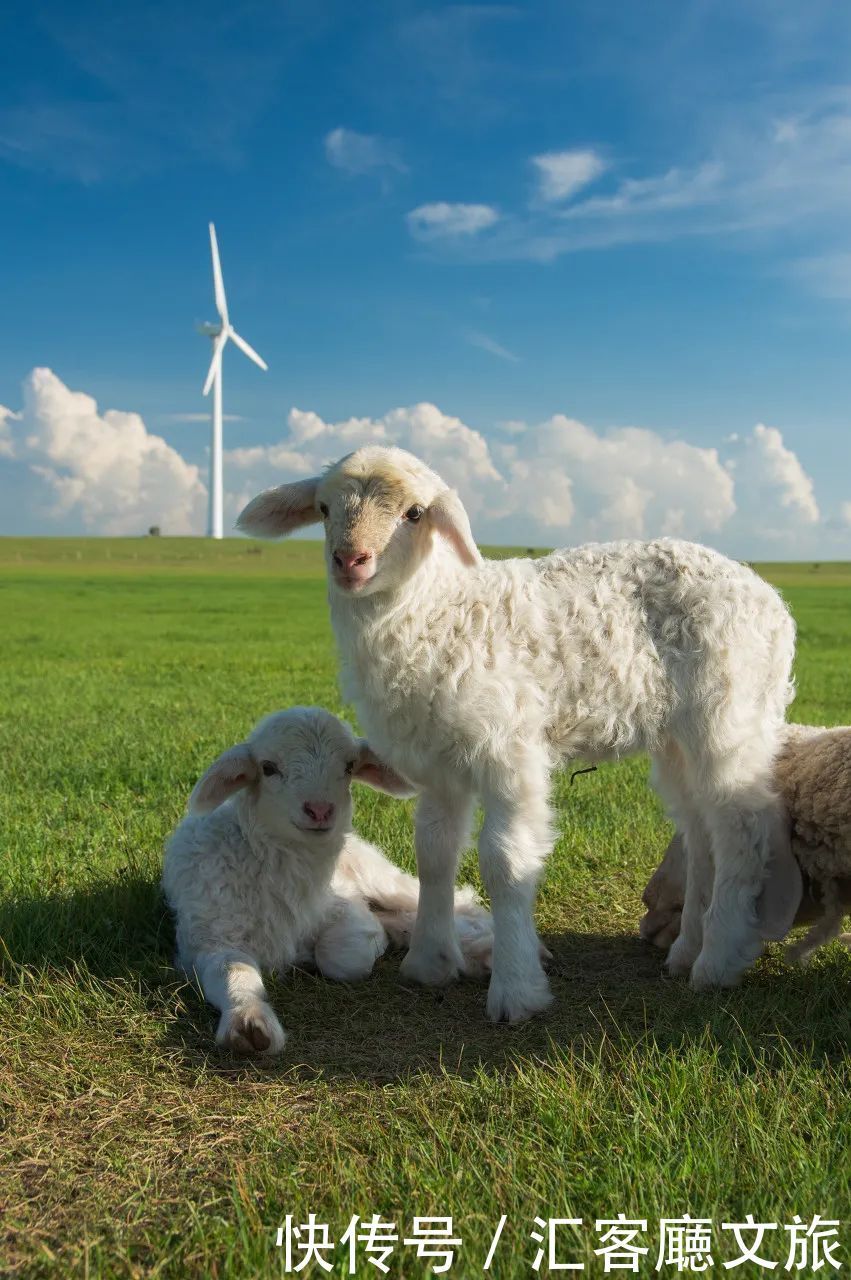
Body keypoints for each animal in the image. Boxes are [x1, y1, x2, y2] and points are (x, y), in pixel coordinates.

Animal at [161, 706, 491, 1054]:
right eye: (268, 768)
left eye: (349, 767)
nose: (320, 810)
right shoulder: (208, 940)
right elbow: (232, 972)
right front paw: (248, 1023)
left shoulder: (346, 905)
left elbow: (342, 955)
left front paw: (373, 940)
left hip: (378, 876)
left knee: (452, 900)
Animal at [239, 445, 798, 1024]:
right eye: (324, 509)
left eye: (414, 514)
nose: (350, 561)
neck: (439, 611)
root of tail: (771, 600)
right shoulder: (437, 763)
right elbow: (433, 853)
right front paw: (430, 962)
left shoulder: (509, 749)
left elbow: (506, 863)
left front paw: (516, 989)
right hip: (677, 737)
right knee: (700, 830)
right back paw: (686, 952)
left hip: (732, 712)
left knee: (741, 829)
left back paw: (717, 961)